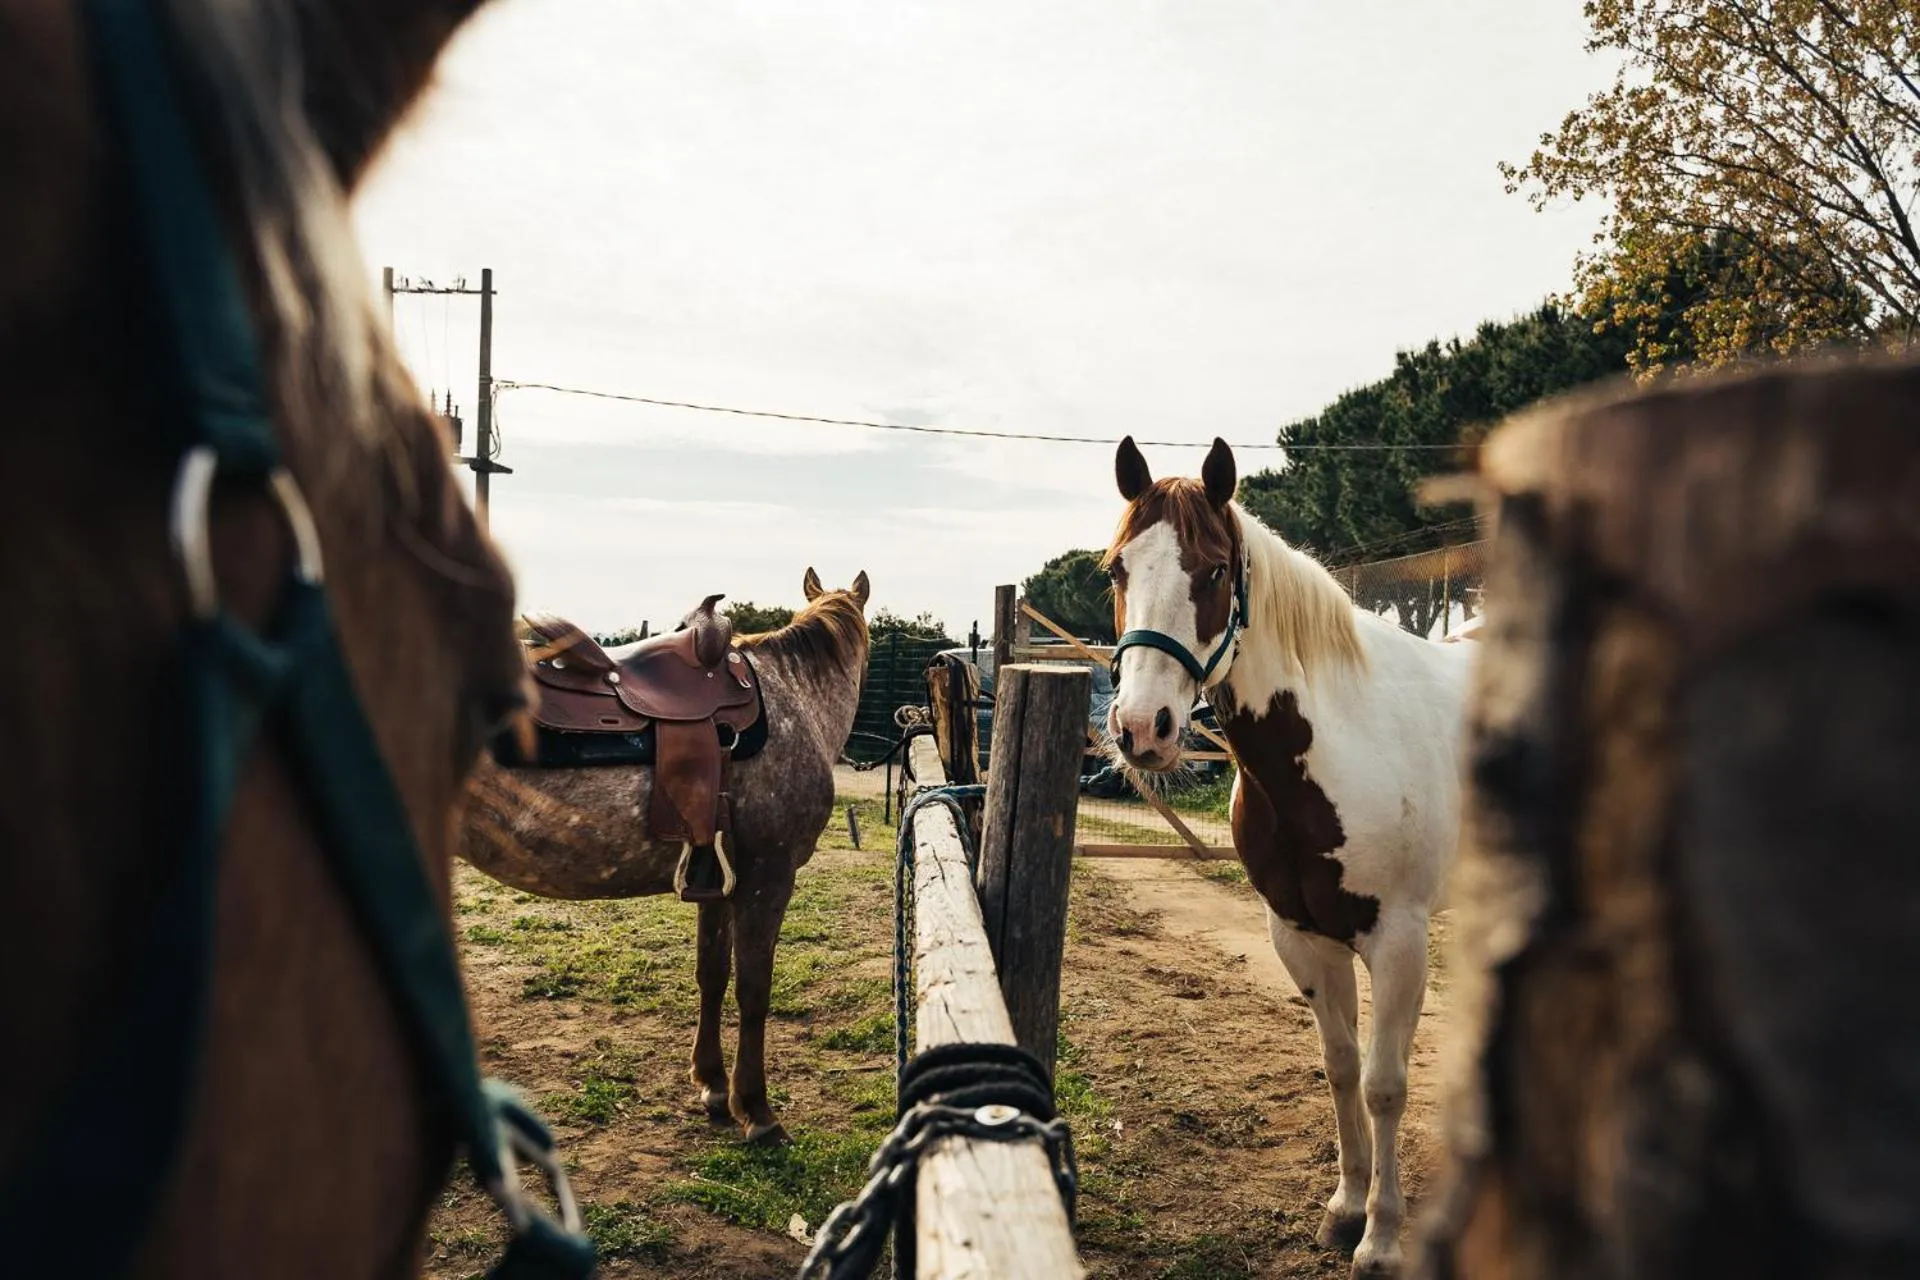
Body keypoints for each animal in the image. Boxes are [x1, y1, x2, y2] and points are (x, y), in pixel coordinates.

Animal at [460, 568, 873, 1145]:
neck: (796, 700)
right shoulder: (768, 876)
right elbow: (754, 988)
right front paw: (757, 1109)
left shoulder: (718, 877)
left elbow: (712, 975)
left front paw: (714, 1086)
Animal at [1102, 436, 1473, 1279]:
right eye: (1116, 570)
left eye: (1213, 571)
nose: (1143, 727)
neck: (1338, 736)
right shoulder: (1301, 936)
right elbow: (1341, 1067)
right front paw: (1345, 1209)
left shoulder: (1397, 942)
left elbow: (1385, 1084)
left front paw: (1383, 1238)